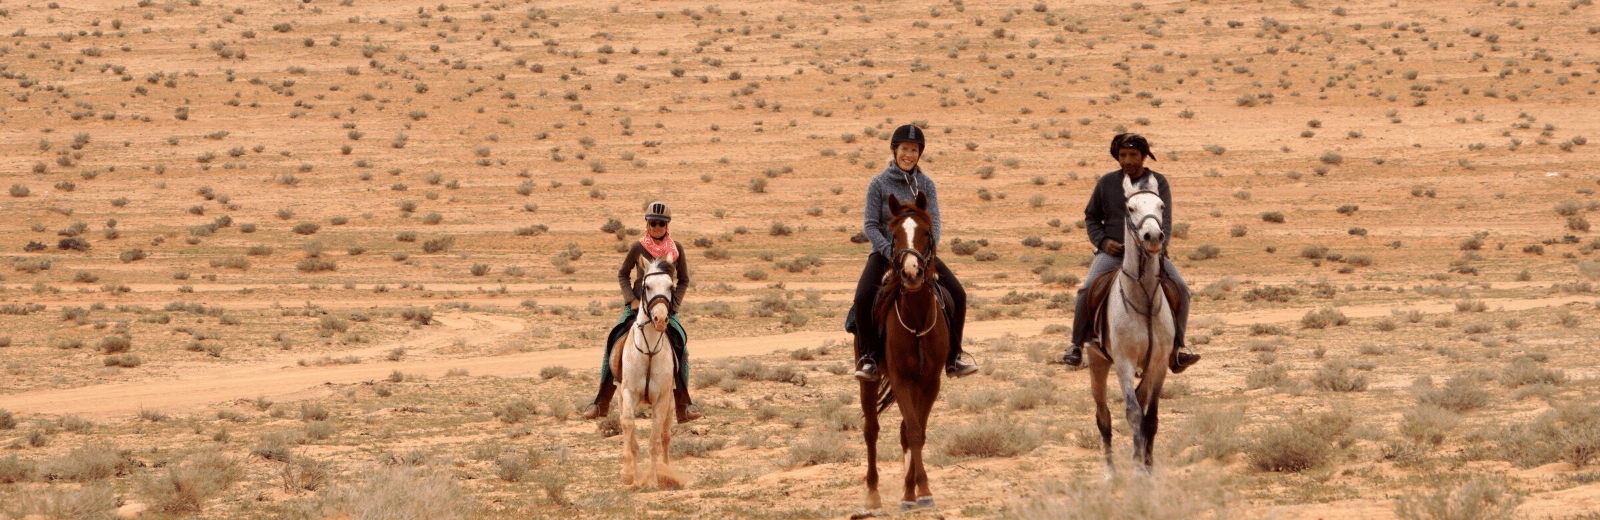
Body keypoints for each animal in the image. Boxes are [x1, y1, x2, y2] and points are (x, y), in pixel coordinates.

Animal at [608, 257, 684, 489]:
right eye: (647, 286)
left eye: (670, 287)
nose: (660, 319)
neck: (649, 349)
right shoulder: (628, 393)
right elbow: (627, 425)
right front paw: (627, 474)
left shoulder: (661, 399)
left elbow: (655, 441)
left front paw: (652, 479)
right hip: (621, 397)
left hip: (670, 404)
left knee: (666, 436)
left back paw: (667, 471)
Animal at [864, 191, 947, 508]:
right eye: (895, 234)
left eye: (926, 232)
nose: (911, 273)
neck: (917, 318)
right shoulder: (900, 380)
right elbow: (912, 430)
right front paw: (920, 489)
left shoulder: (930, 382)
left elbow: (916, 431)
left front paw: (915, 490)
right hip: (870, 378)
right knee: (871, 430)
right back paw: (872, 493)